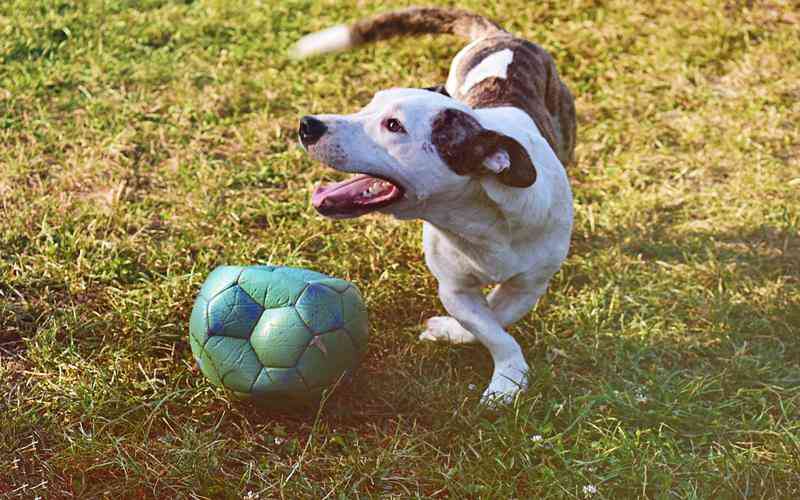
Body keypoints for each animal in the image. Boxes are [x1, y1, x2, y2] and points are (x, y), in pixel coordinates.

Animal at [292, 7, 576, 404]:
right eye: (369, 104)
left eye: (393, 125)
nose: (308, 124)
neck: (479, 219)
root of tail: (504, 37)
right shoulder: (454, 289)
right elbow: (488, 327)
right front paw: (501, 369)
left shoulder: (528, 285)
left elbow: (499, 318)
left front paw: (504, 375)